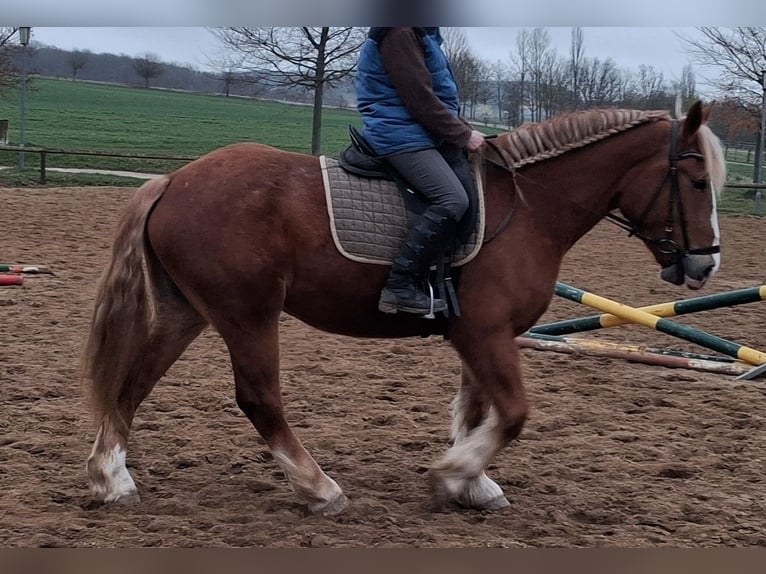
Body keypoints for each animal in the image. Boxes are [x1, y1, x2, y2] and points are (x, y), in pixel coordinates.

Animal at [83, 101, 726, 515]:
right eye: (697, 183)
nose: (705, 266)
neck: (530, 208)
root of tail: (172, 181)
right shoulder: (486, 332)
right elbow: (513, 412)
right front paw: (453, 475)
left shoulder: (480, 336)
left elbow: (476, 408)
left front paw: (473, 484)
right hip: (248, 314)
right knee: (258, 398)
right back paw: (320, 490)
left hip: (188, 312)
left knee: (132, 384)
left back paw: (111, 479)